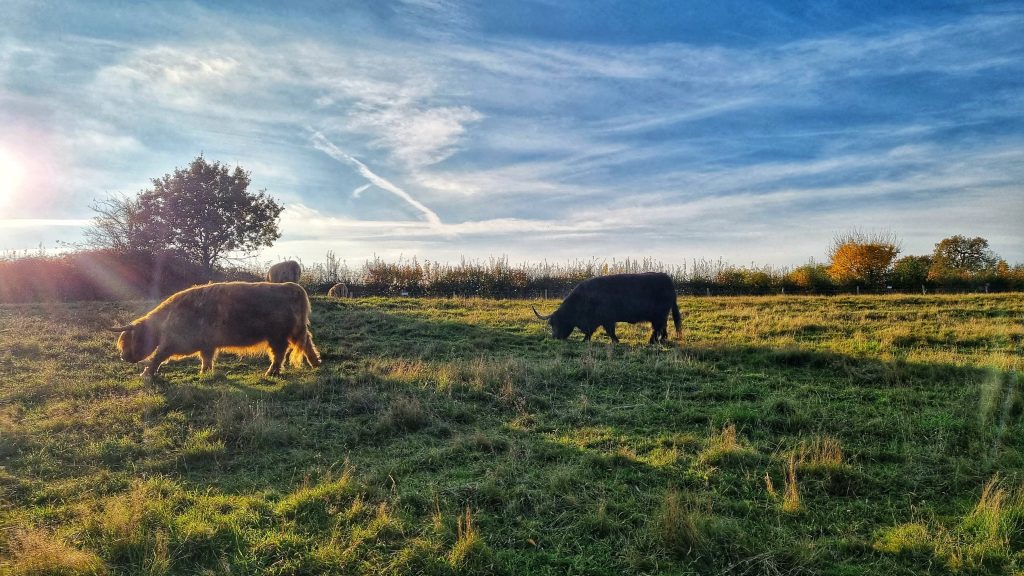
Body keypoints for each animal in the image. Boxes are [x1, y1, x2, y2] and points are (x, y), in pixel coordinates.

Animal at [111, 280, 319, 377]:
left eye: (128, 339)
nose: (122, 357)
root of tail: (292, 287)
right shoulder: (207, 344)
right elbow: (206, 358)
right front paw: (205, 373)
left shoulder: (173, 343)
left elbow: (157, 357)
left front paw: (146, 374)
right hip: (295, 331)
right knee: (307, 342)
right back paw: (315, 363)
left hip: (278, 335)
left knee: (279, 354)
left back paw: (271, 373)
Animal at [532, 272, 684, 342]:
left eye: (556, 323)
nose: (554, 337)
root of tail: (667, 278)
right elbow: (592, 332)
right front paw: (585, 340)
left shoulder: (607, 319)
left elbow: (609, 331)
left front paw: (615, 341)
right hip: (661, 315)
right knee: (663, 326)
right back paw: (662, 339)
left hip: (659, 315)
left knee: (658, 327)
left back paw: (652, 341)